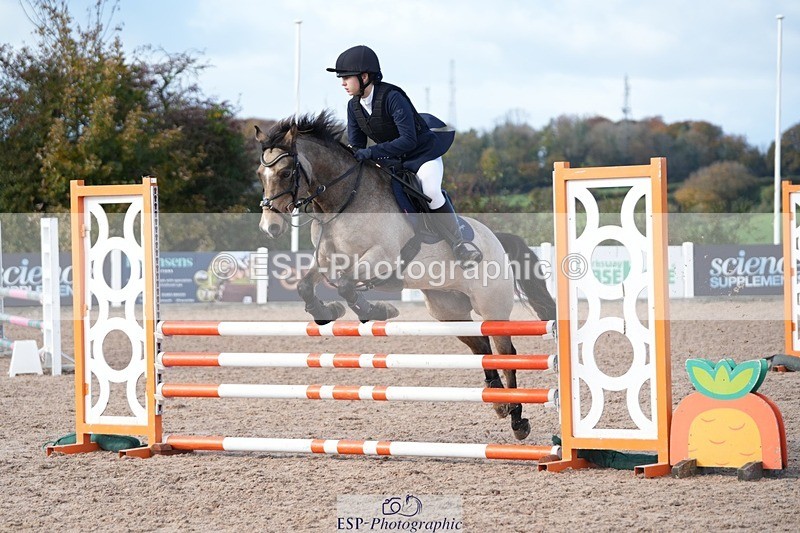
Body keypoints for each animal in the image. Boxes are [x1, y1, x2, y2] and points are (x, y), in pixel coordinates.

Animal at [254, 111, 556, 440]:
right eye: (260, 174)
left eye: (286, 173)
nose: (270, 227)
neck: (343, 202)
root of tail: (497, 240)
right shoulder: (327, 261)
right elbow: (305, 286)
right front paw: (327, 313)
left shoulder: (381, 258)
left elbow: (347, 285)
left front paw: (376, 310)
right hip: (448, 311)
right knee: (481, 348)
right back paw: (499, 402)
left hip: (493, 308)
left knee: (506, 352)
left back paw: (517, 418)